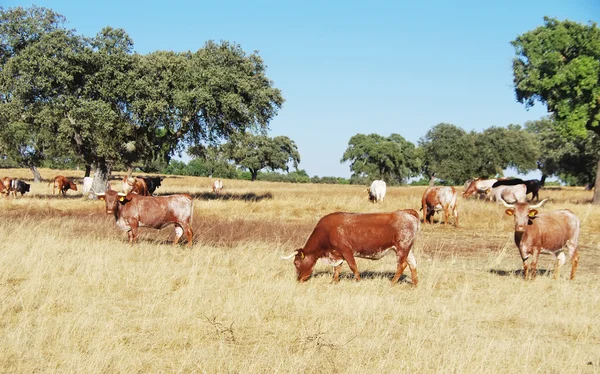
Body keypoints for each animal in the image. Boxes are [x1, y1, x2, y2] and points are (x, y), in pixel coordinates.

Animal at [280, 209, 418, 284]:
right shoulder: (337, 253)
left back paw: (392, 282)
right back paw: (414, 285)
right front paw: (334, 281)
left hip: (402, 248)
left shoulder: (346, 250)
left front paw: (358, 280)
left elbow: (353, 266)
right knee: (413, 265)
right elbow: (337, 268)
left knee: (402, 265)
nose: (298, 279)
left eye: (296, 263)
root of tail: (406, 213)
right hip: (408, 250)